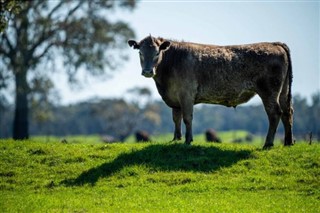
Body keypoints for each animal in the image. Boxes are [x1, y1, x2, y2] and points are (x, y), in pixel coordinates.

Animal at [127, 35, 292, 148]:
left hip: (269, 91)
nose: (148, 71)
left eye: (157, 53)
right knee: (287, 113)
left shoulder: (186, 95)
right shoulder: (175, 99)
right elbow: (176, 119)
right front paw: (176, 139)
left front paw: (188, 141)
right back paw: (288, 142)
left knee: (275, 113)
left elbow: (187, 118)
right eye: (140, 53)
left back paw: (268, 144)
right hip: (283, 91)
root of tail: (274, 43)